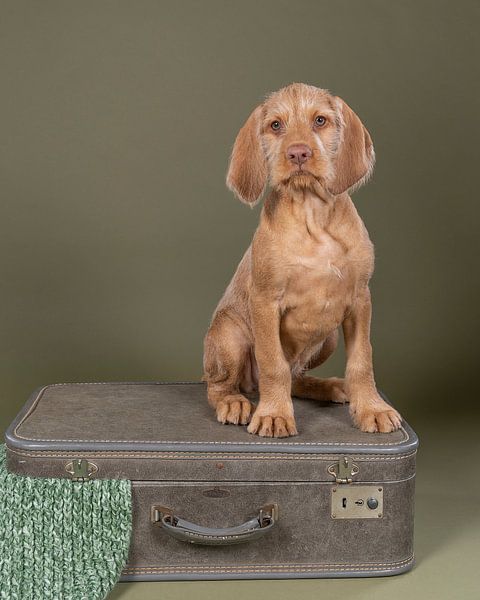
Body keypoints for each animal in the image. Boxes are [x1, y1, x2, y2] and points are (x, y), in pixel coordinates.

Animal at [202, 83, 402, 436]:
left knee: (296, 375)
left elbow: (362, 361)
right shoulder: (265, 302)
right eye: (275, 125)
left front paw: (372, 408)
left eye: (320, 120)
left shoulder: (360, 299)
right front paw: (274, 414)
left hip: (329, 338)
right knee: (224, 384)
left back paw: (327, 386)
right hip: (229, 336)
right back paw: (234, 402)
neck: (312, 216)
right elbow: (273, 364)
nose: (298, 154)